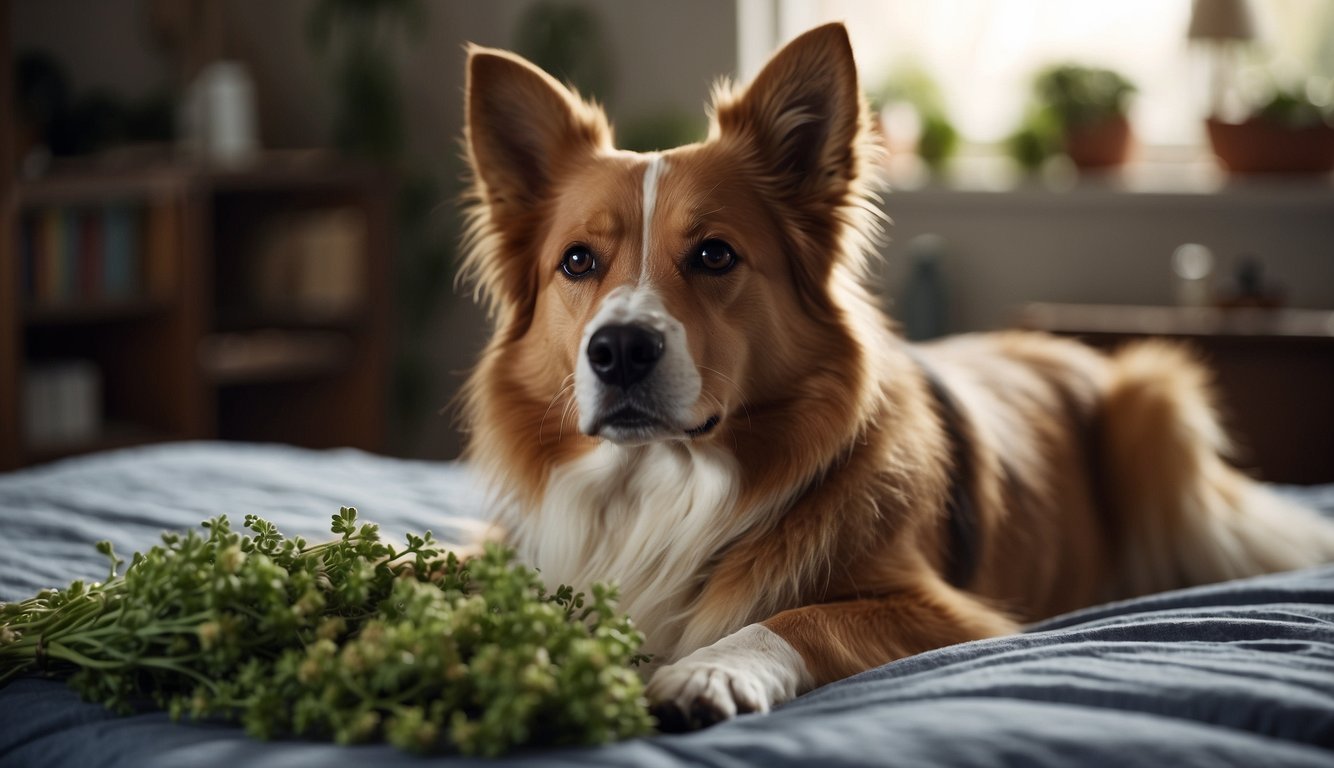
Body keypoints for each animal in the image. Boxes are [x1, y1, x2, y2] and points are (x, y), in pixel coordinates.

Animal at [456, 24, 1334, 730]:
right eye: (577, 262)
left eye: (713, 254)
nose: (619, 350)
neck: (659, 487)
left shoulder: (959, 616)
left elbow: (803, 617)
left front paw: (710, 669)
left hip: (1155, 405)